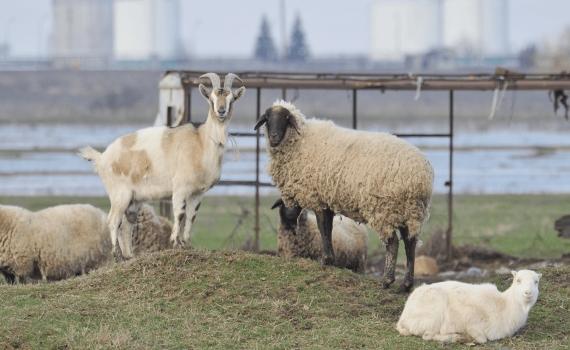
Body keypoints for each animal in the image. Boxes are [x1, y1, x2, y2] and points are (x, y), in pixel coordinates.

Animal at [76, 72, 243, 258]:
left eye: (231, 99)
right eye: (211, 99)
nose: (221, 111)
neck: (202, 141)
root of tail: (101, 157)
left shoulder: (198, 192)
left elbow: (191, 215)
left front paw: (188, 245)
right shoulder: (180, 187)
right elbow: (179, 213)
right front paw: (176, 243)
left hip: (134, 199)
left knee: (127, 225)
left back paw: (129, 256)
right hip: (119, 193)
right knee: (113, 220)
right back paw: (117, 254)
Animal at [253, 100, 430, 292]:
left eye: (286, 118)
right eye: (267, 118)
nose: (274, 136)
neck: (300, 141)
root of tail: (420, 177)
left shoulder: (318, 198)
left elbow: (323, 228)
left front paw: (326, 260)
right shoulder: (327, 199)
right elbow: (328, 228)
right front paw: (330, 260)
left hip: (385, 209)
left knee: (393, 243)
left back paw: (387, 281)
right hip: (409, 211)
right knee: (410, 243)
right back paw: (406, 285)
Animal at [394, 270, 540, 344]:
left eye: (536, 282)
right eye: (518, 280)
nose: (528, 293)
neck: (504, 304)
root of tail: (402, 319)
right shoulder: (473, 322)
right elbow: (482, 339)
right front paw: (469, 337)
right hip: (432, 313)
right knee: (427, 335)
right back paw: (455, 338)